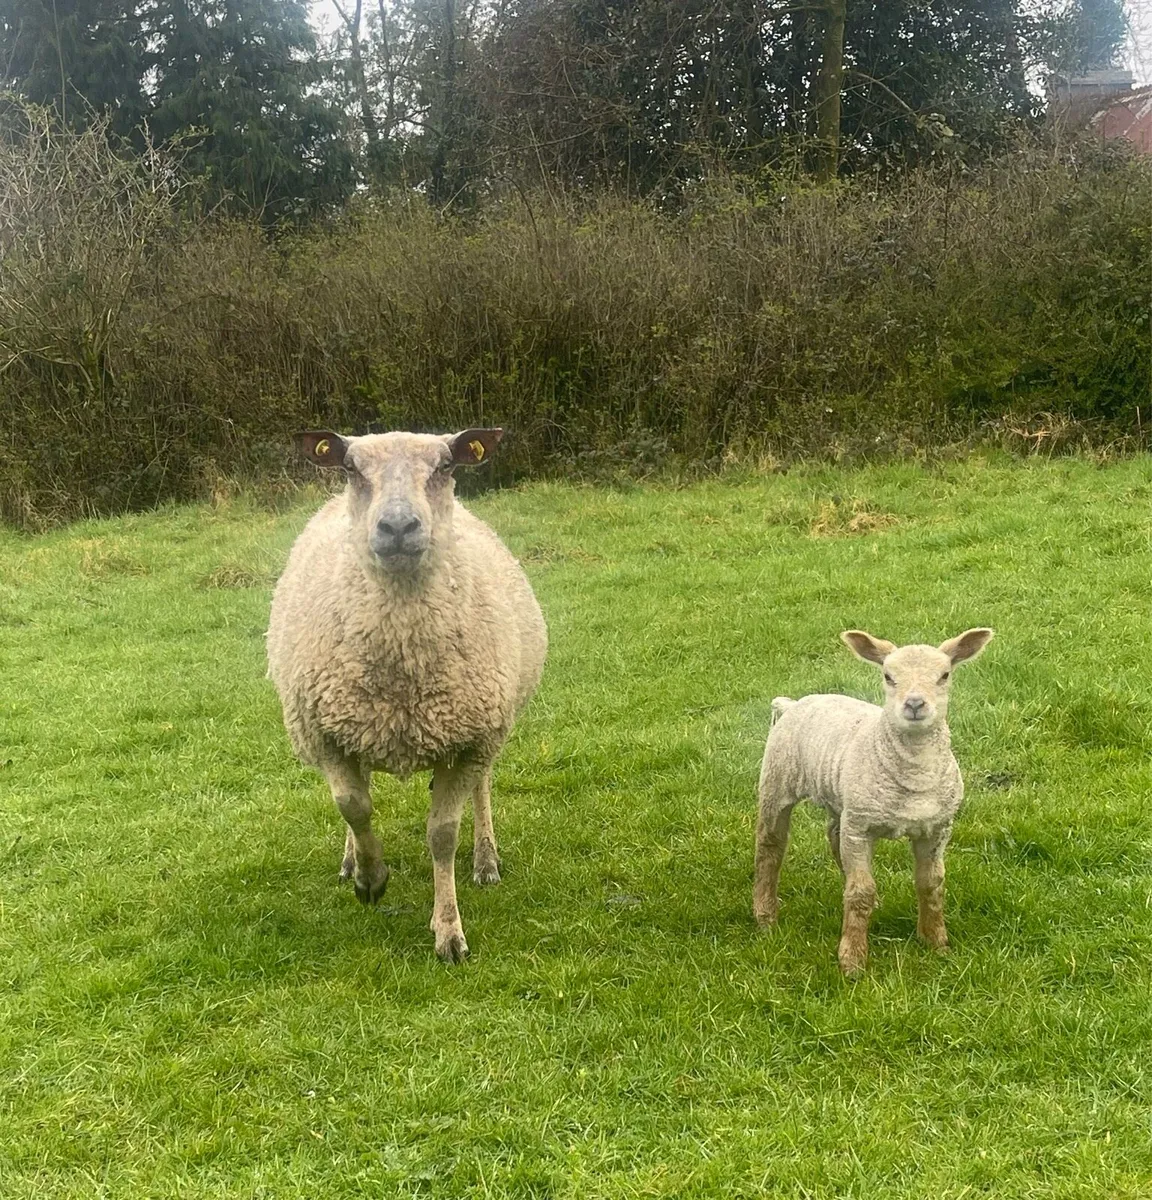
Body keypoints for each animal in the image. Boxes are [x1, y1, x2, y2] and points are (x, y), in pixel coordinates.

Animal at [266, 428, 547, 963]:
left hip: (486, 726)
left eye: (445, 466)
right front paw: (370, 878)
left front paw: (448, 930)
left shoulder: (470, 739)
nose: (398, 526)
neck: (402, 657)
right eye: (350, 468)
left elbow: (442, 836)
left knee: (481, 790)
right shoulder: (326, 734)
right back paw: (350, 862)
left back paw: (485, 861)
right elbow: (353, 807)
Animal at [752, 628, 993, 975]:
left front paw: (936, 943)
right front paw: (852, 960)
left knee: (834, 836)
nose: (915, 704)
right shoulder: (861, 828)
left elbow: (931, 884)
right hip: (777, 780)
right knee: (770, 847)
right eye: (888, 677)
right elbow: (860, 892)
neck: (913, 777)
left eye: (944, 675)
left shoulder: (937, 828)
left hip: (844, 800)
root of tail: (794, 702)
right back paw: (765, 915)